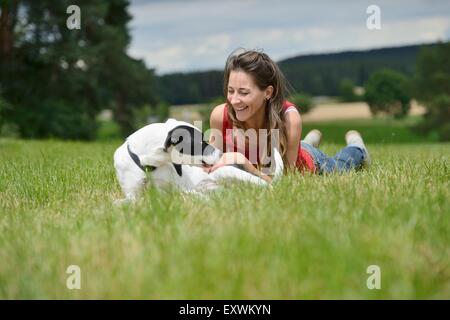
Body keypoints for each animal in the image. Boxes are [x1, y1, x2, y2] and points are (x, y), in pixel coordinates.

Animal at [112, 117, 282, 202]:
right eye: (201, 143)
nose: (222, 154)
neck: (148, 165)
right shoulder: (132, 194)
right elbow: (124, 202)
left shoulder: (178, 189)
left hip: (226, 171)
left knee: (268, 185)